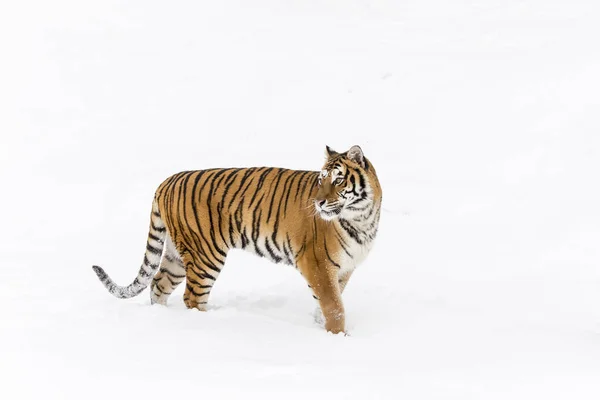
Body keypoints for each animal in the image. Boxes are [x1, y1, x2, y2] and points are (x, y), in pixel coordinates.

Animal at [94, 145, 384, 332]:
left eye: (338, 180)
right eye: (322, 179)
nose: (319, 202)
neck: (363, 216)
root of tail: (166, 181)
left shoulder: (343, 269)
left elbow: (326, 303)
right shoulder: (317, 264)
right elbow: (334, 306)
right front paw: (337, 337)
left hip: (177, 254)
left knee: (158, 283)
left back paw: (162, 317)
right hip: (206, 255)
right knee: (192, 297)